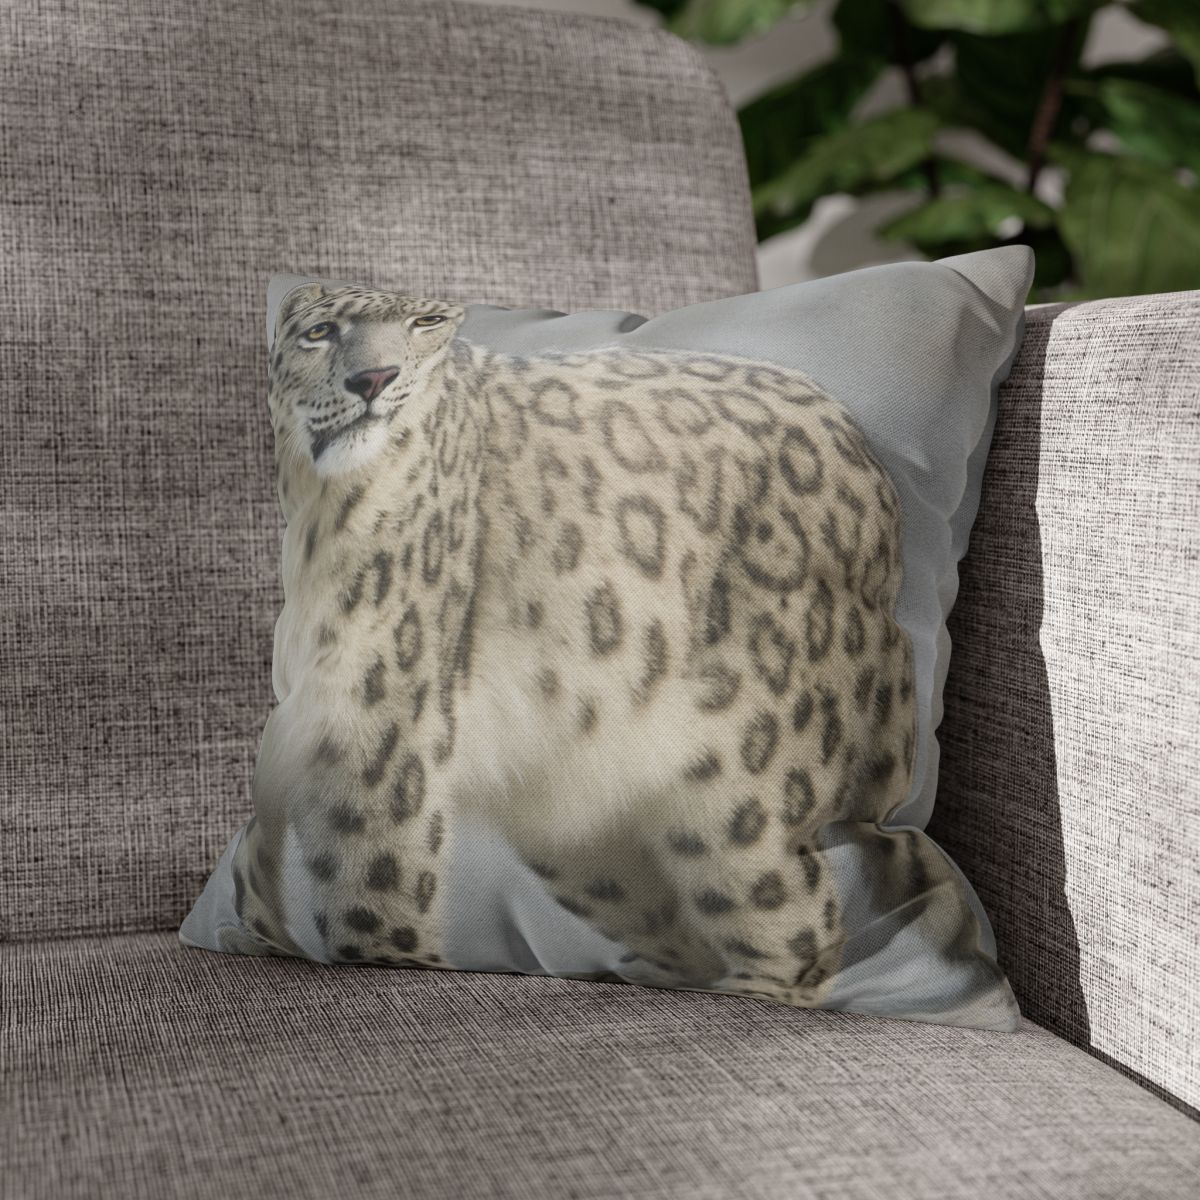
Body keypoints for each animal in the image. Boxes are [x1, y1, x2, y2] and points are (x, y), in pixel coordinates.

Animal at [227, 281, 918, 1010]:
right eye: (320, 332)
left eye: (426, 322)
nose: (374, 379)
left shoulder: (378, 735)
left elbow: (373, 896)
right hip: (586, 836)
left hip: (744, 789)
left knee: (796, 923)